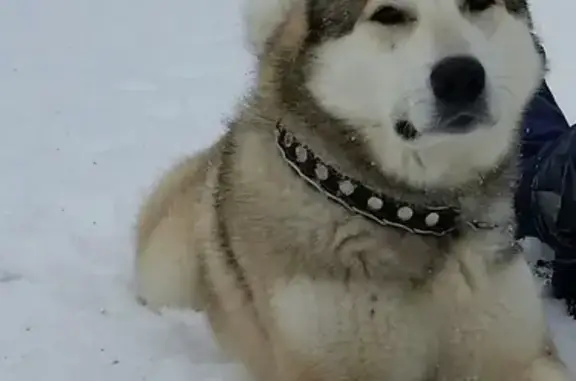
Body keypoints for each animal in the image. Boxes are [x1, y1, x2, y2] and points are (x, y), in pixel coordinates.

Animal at [134, 0, 572, 378]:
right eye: (389, 14)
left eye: (479, 3)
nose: (462, 77)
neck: (414, 213)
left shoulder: (520, 352)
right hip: (170, 271)